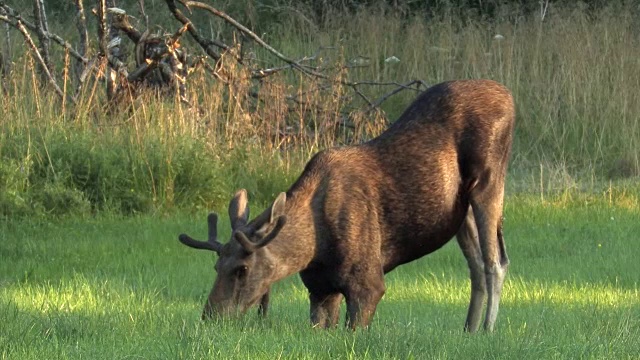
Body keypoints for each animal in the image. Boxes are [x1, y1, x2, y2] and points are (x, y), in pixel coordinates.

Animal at [176, 79, 516, 332]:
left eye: (242, 269)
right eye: (217, 266)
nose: (210, 317)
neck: (313, 247)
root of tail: (509, 95)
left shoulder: (368, 285)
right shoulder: (320, 290)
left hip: (488, 182)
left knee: (495, 261)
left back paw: (486, 330)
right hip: (461, 212)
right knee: (476, 266)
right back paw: (468, 329)